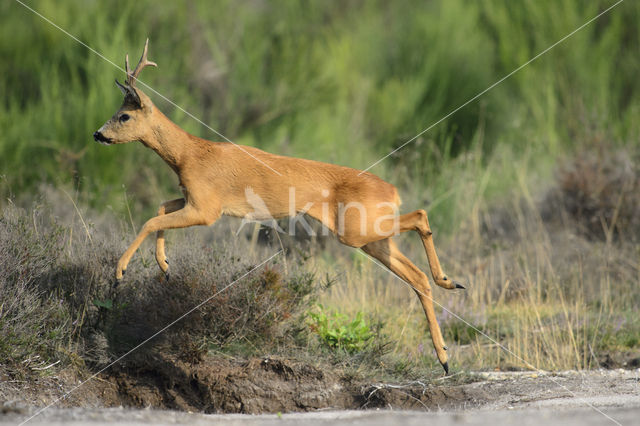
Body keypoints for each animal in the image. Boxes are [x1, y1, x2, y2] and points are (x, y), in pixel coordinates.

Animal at [92, 39, 462, 372]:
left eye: (124, 115)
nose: (97, 134)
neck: (189, 155)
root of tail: (392, 190)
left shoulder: (207, 209)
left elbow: (151, 220)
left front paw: (120, 273)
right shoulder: (192, 200)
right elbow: (159, 209)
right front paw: (165, 266)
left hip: (356, 231)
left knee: (420, 218)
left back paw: (446, 298)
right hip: (372, 239)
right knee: (416, 276)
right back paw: (444, 346)